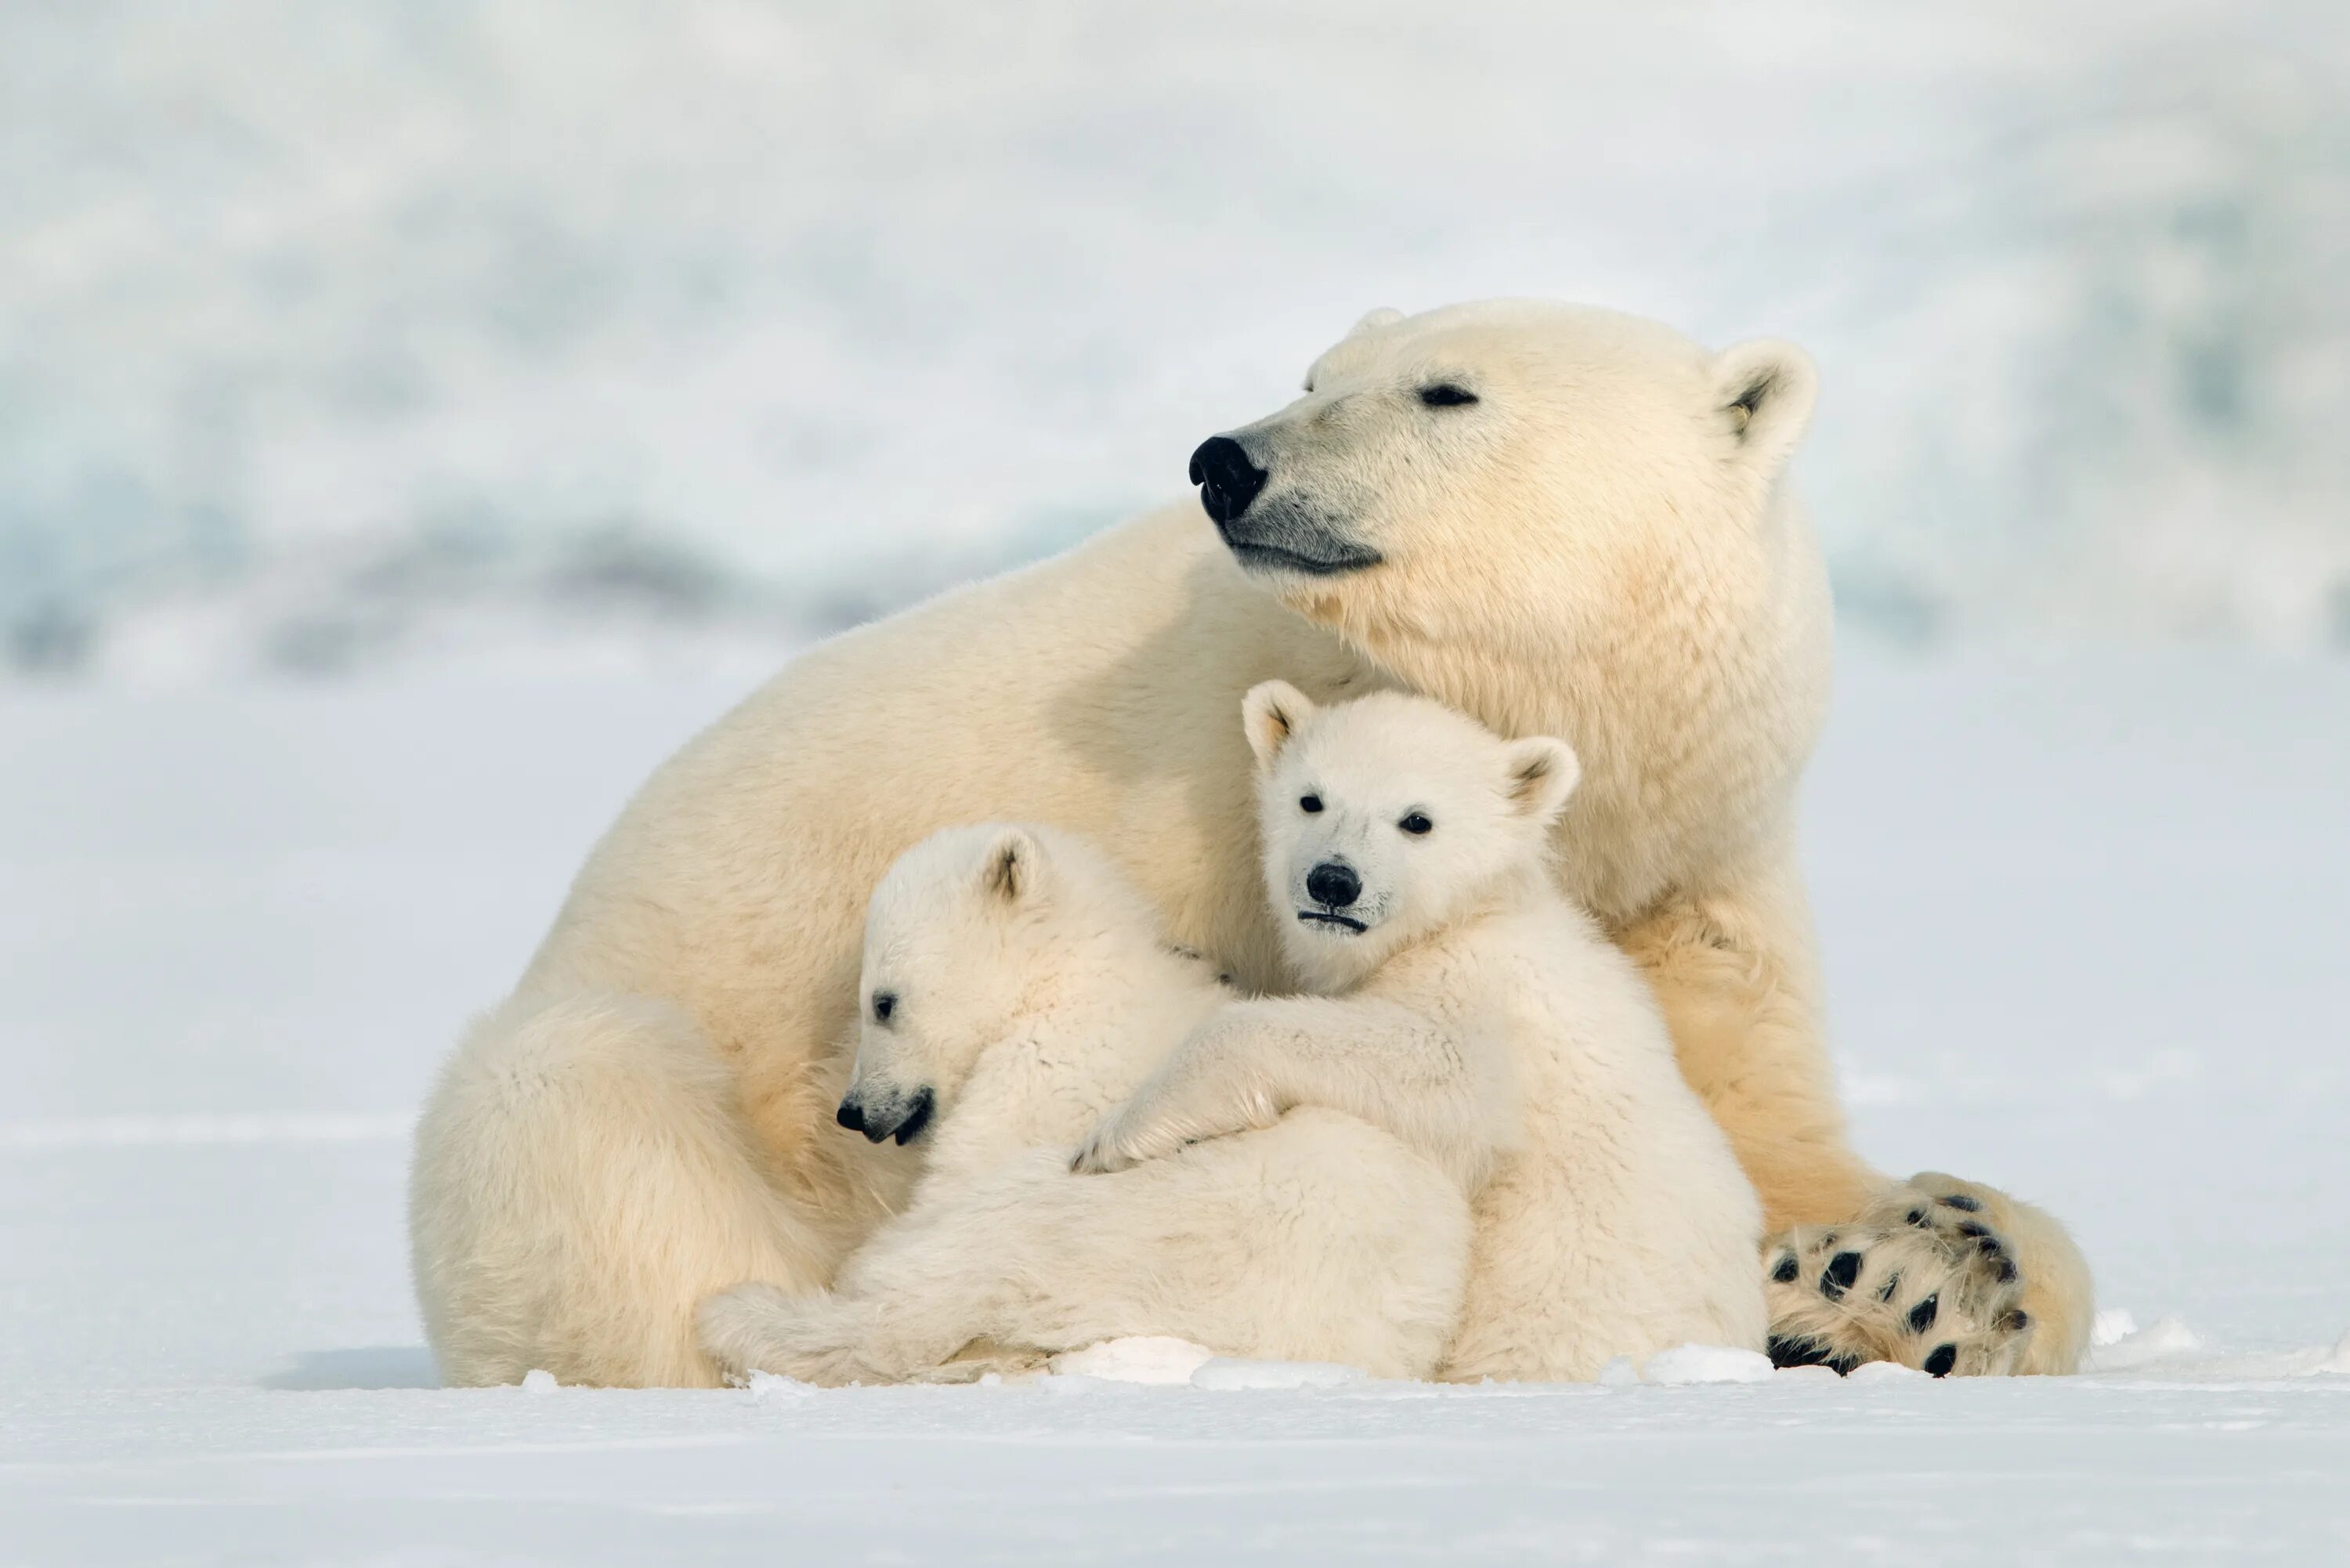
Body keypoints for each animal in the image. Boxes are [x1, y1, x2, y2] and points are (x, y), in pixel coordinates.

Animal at [409, 297, 2096, 1382]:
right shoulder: (1196, 822)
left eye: (1446, 390)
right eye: (1316, 367)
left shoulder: (1684, 873)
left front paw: (1905, 1276)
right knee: (585, 1122)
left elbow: (1755, 1127)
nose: (1230, 456)